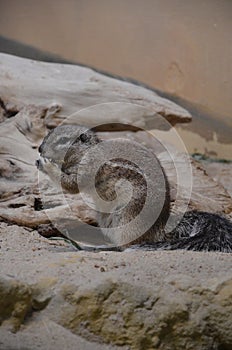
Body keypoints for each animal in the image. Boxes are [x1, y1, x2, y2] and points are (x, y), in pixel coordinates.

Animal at [36, 124, 232, 253]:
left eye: (63, 140)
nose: (39, 148)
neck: (85, 152)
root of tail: (160, 231)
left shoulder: (90, 167)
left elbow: (71, 185)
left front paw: (46, 164)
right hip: (105, 219)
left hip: (127, 217)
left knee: (126, 246)